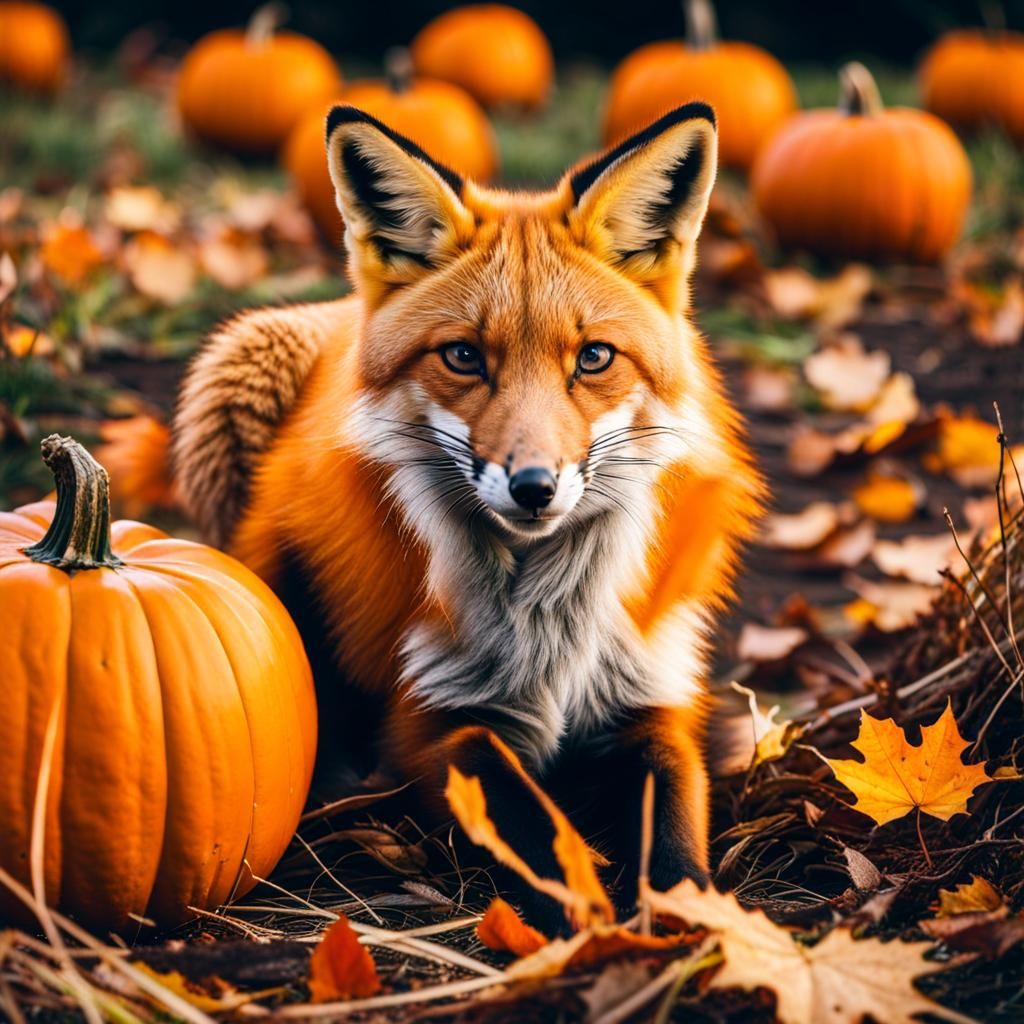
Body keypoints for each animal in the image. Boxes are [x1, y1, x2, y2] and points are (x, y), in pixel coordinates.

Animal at [172, 101, 762, 924]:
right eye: (464, 357)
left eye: (593, 358)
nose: (534, 486)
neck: (549, 625)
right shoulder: (437, 724)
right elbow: (538, 836)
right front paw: (589, 921)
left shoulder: (652, 697)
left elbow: (674, 828)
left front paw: (696, 921)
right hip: (239, 370)